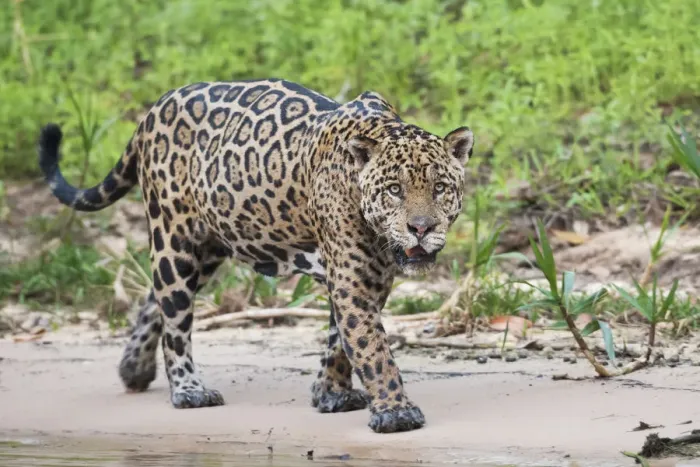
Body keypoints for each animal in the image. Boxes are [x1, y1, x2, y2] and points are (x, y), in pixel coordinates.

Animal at [38, 78, 474, 433]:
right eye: (394, 190)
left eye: (439, 188)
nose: (421, 228)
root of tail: (155, 107)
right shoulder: (353, 281)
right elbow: (371, 347)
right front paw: (395, 412)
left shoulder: (368, 278)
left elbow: (341, 341)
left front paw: (329, 393)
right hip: (174, 238)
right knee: (175, 320)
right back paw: (188, 390)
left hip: (209, 247)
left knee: (155, 300)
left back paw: (134, 368)